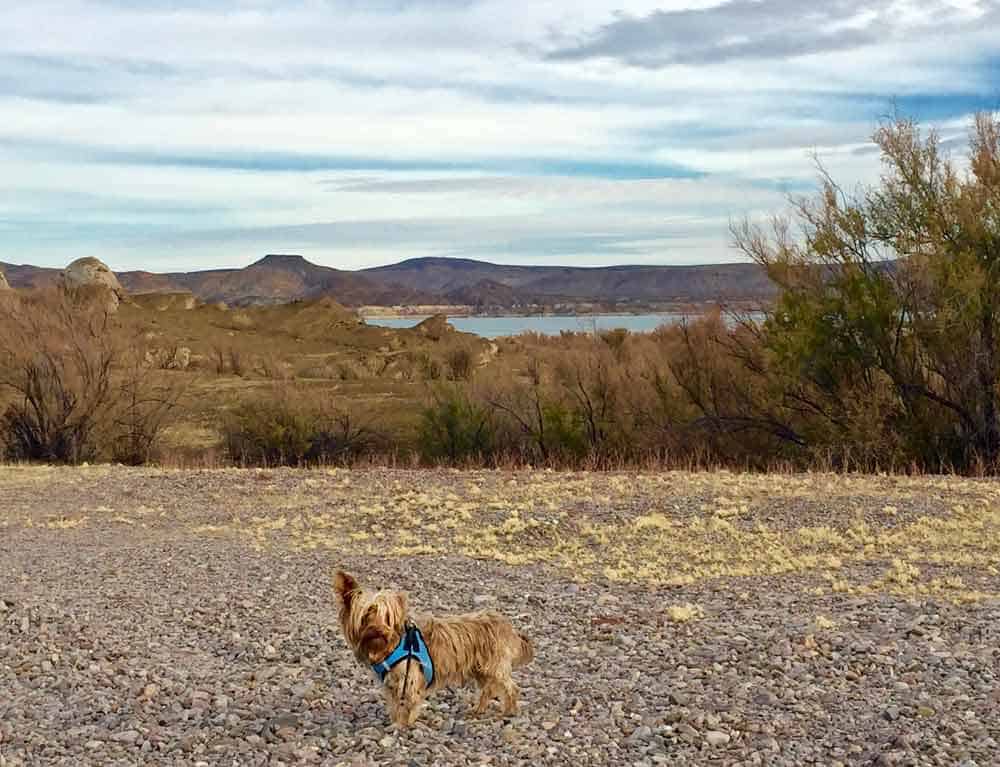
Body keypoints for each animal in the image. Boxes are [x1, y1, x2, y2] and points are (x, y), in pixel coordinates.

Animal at [332, 568, 532, 728]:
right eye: (366, 615)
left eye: (387, 617)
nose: (378, 630)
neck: (390, 646)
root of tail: (507, 626)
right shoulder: (392, 683)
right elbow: (395, 704)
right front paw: (396, 721)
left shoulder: (409, 677)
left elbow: (406, 703)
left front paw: (402, 725)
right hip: (480, 669)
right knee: (489, 689)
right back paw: (479, 709)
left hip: (494, 665)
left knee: (510, 686)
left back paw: (509, 710)